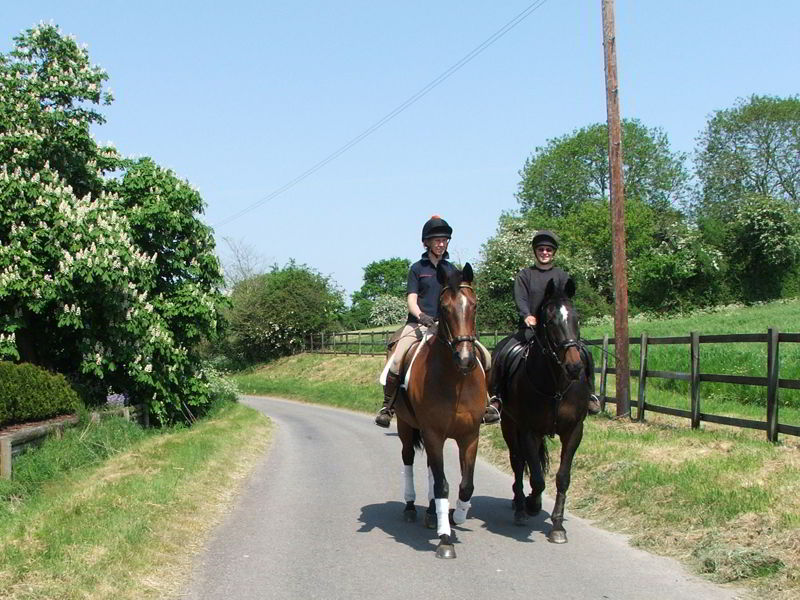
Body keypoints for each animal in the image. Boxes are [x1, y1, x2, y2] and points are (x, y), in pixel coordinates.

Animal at [394, 262, 488, 556]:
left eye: (474, 305)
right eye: (444, 308)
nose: (466, 359)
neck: (456, 380)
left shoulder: (469, 436)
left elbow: (466, 484)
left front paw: (458, 516)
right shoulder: (433, 433)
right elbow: (442, 484)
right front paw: (445, 538)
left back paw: (431, 514)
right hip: (405, 426)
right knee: (408, 459)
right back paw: (411, 507)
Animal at [494, 276, 588, 544]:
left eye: (576, 318)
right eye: (550, 321)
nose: (574, 367)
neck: (555, 386)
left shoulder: (574, 431)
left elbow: (562, 477)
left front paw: (557, 526)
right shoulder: (528, 430)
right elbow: (536, 477)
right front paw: (532, 505)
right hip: (509, 425)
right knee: (517, 462)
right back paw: (519, 506)